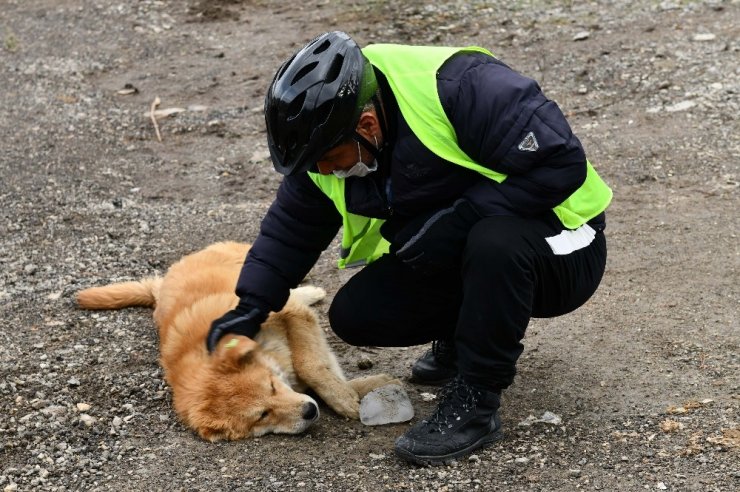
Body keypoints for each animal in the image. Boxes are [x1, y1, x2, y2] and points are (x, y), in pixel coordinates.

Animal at [76, 242, 398, 442]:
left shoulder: (293, 315)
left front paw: (346, 397)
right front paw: (363, 389)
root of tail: (163, 282)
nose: (310, 411)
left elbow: (311, 364)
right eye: (263, 415)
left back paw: (310, 288)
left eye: (271, 385)